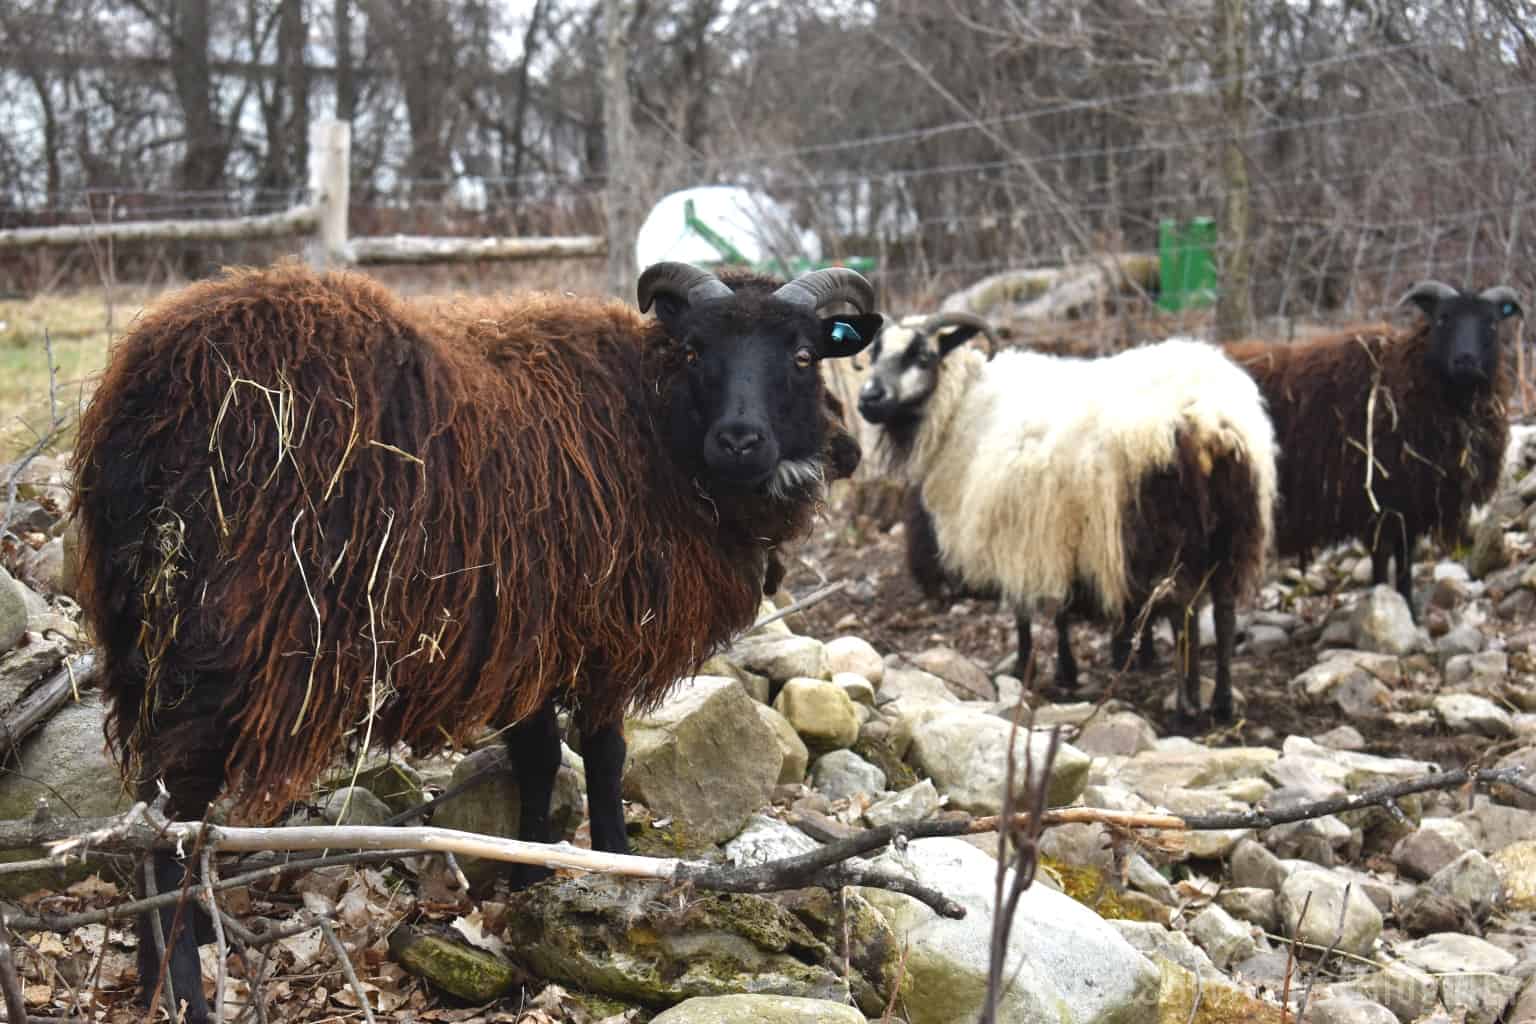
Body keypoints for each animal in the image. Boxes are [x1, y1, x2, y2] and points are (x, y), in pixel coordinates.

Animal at [72, 257, 884, 1024]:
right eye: (695, 349)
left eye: (804, 355)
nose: (741, 440)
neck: (653, 419)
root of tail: (156, 387)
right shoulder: (598, 628)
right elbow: (602, 755)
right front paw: (615, 866)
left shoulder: (528, 633)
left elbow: (537, 756)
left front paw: (527, 877)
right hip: (221, 638)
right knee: (171, 813)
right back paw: (181, 986)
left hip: (139, 630)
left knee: (146, 802)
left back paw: (156, 962)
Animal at [860, 313, 1277, 721]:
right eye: (874, 352)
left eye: (923, 356)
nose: (867, 398)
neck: (963, 406)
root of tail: (1210, 421)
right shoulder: (1059, 533)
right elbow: (1060, 607)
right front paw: (1069, 669)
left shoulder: (1019, 533)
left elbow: (1027, 609)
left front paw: (1031, 667)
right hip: (1234, 528)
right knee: (1224, 612)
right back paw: (1222, 703)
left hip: (1167, 533)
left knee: (1182, 613)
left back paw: (1187, 706)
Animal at [1222, 280, 1523, 617]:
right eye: (1442, 318)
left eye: (1492, 322)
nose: (1466, 361)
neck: (1409, 378)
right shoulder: (1379, 502)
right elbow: (1382, 561)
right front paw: (1386, 604)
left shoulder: (1409, 506)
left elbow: (1404, 563)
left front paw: (1408, 609)